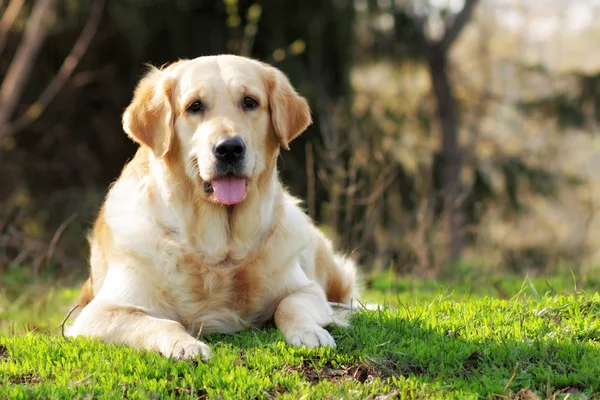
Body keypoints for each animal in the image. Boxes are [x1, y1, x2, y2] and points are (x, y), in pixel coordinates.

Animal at [67, 54, 356, 362]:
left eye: (250, 102)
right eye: (195, 106)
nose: (229, 148)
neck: (219, 254)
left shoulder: (308, 289)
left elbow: (288, 305)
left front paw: (309, 332)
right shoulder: (96, 315)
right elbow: (160, 323)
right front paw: (185, 344)